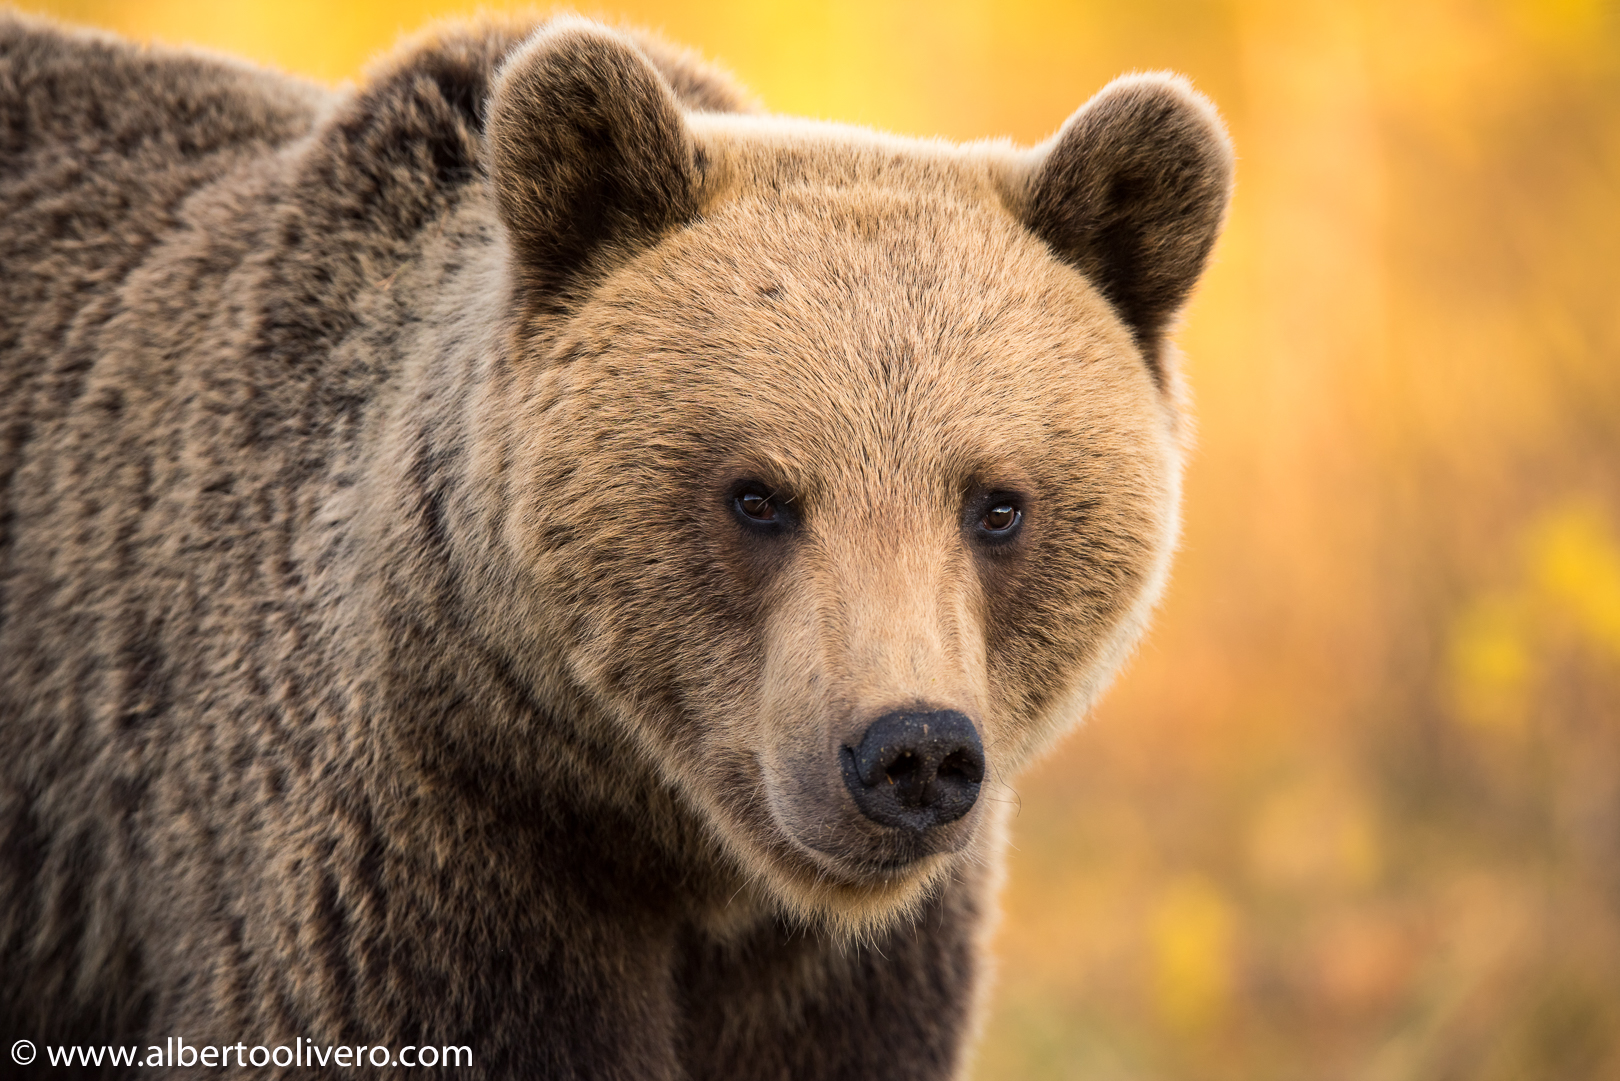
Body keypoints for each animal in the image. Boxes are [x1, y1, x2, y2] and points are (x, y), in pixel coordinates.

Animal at [0, 10, 1232, 1080]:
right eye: (757, 495)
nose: (911, 751)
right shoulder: (422, 851)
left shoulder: (850, 978)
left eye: (997, 503)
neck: (679, 846)